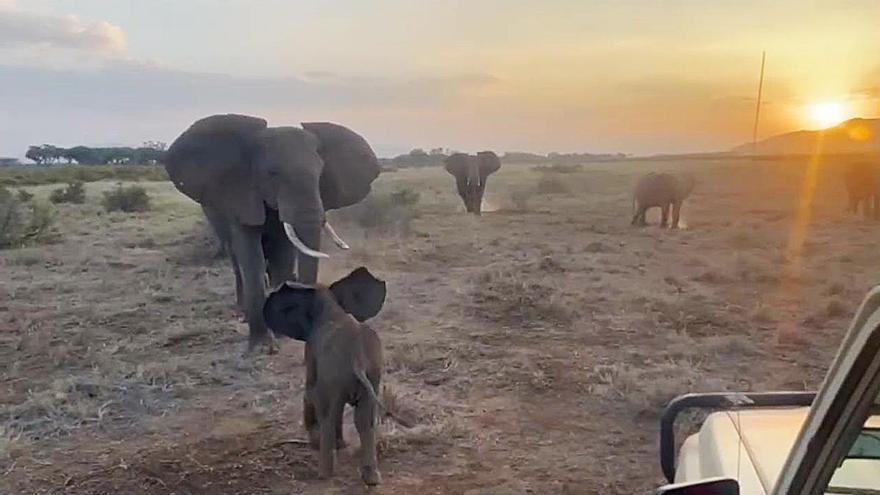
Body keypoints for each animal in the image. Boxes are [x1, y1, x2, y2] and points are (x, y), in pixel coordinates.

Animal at [164, 114, 380, 351]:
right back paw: (241, 312)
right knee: (235, 259)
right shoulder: (240, 196)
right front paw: (262, 346)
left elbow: (283, 255)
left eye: (321, 172)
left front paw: (283, 333)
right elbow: (252, 257)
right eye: (272, 174)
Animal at [263, 267, 386, 485]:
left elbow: (310, 388)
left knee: (328, 413)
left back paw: (323, 474)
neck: (330, 304)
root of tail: (356, 359)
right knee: (365, 419)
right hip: (372, 375)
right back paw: (372, 479)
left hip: (336, 374)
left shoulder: (311, 349)